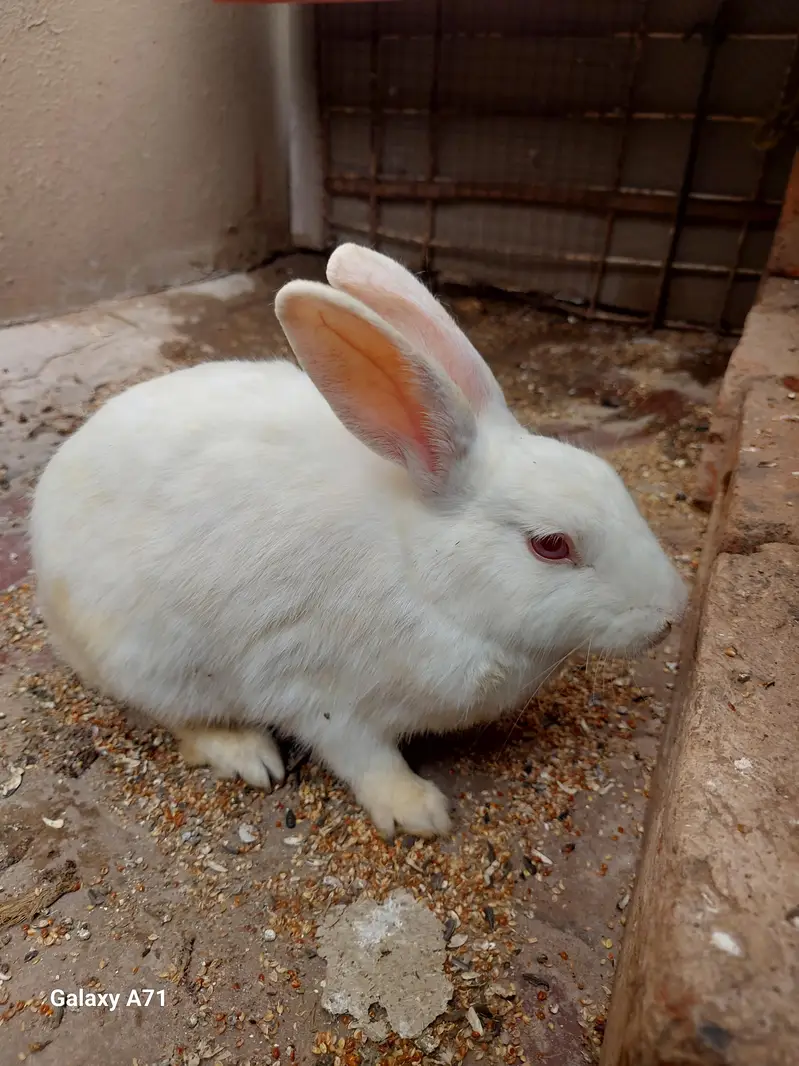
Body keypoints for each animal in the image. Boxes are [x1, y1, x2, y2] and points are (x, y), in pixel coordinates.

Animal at [29, 243, 687, 839]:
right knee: (179, 717)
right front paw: (419, 812)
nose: (670, 617)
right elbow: (362, 755)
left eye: (613, 480)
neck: (422, 574)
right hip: (152, 658)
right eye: (551, 545)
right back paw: (248, 754)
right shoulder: (321, 692)